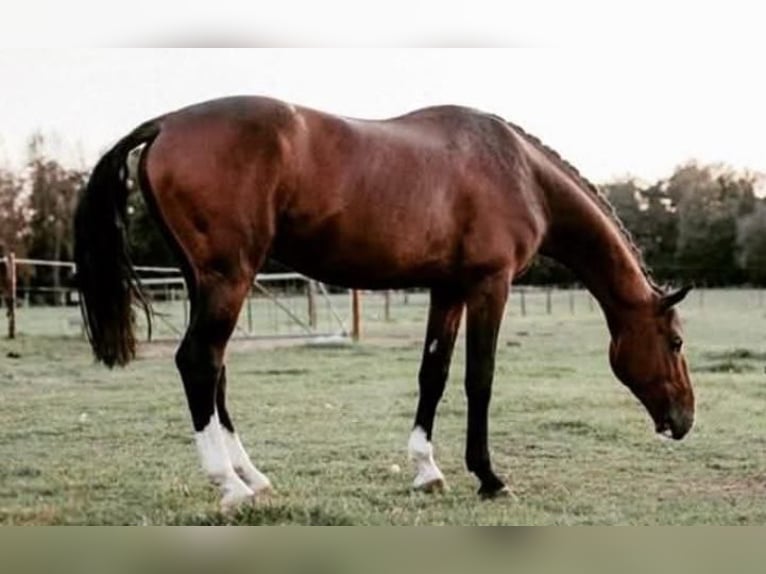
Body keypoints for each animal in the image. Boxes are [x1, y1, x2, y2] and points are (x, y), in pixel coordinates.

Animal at [74, 96, 695, 510]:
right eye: (676, 341)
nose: (684, 419)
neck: (519, 171)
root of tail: (166, 123)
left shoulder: (448, 289)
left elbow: (433, 375)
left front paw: (426, 469)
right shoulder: (489, 285)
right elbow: (480, 379)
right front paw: (489, 477)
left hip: (206, 280)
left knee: (216, 370)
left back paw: (253, 477)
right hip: (229, 279)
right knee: (199, 362)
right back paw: (229, 486)